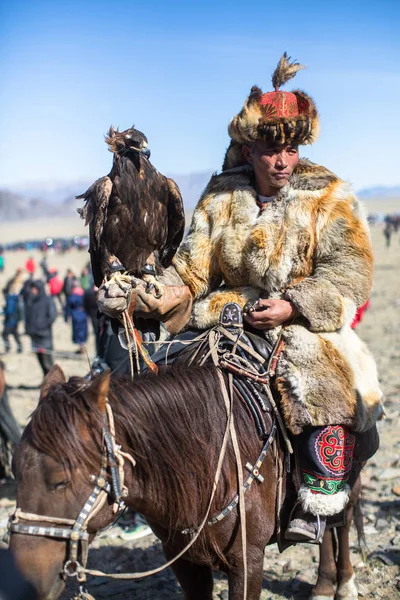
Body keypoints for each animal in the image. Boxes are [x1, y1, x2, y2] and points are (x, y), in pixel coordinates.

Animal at [9, 366, 360, 600]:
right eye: (15, 473)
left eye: (60, 481)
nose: (23, 585)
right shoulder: (184, 561)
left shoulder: (248, 562)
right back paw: (323, 585)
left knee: (340, 520)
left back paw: (342, 584)